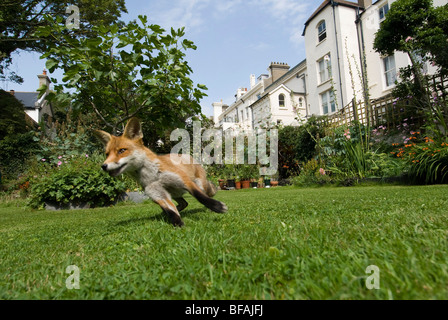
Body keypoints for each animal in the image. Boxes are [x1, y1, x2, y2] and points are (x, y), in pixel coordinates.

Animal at [95, 118, 228, 228]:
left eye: (122, 150)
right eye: (107, 154)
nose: (103, 166)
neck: (153, 176)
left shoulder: (184, 181)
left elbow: (200, 197)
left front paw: (217, 207)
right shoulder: (157, 194)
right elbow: (171, 211)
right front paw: (178, 223)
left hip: (197, 184)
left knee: (203, 195)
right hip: (174, 194)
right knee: (184, 203)